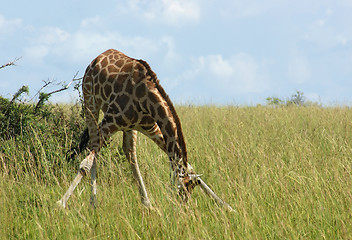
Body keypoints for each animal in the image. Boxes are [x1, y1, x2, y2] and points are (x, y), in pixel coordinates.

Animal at [57, 49, 234, 210]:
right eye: (182, 192)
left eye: (190, 191)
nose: (182, 208)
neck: (146, 97)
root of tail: (97, 58)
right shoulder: (110, 122)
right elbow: (85, 163)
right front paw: (60, 203)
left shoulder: (151, 126)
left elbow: (189, 167)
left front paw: (227, 206)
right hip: (90, 103)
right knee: (94, 147)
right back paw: (93, 203)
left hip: (131, 127)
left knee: (129, 153)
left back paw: (146, 203)